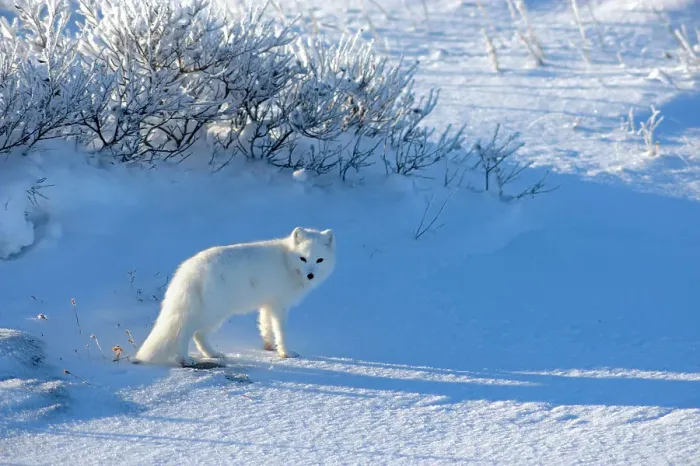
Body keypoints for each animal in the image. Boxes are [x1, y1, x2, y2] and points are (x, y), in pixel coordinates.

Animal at [134, 227, 336, 366]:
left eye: (319, 260)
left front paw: (269, 347)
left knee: (197, 335)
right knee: (186, 333)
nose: (311, 275)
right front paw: (285, 353)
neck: (287, 262)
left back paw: (213, 354)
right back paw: (184, 359)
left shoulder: (267, 304)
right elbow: (281, 331)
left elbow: (265, 327)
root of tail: (190, 270)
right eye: (303, 258)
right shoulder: (279, 304)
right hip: (212, 313)